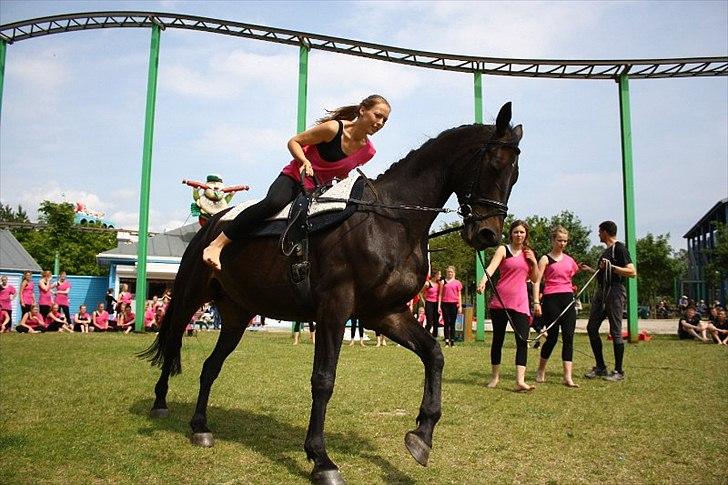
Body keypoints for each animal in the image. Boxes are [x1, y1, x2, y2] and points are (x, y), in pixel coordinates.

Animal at [144, 101, 524, 480]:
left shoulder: (384, 313)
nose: (488, 234)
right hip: (189, 298)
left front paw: (422, 435)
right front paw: (321, 458)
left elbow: (434, 354)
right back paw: (160, 402)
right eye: (494, 164)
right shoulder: (335, 308)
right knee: (173, 341)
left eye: (515, 175)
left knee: (210, 366)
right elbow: (323, 380)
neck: (389, 220)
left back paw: (200, 426)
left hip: (237, 316)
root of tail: (206, 229)